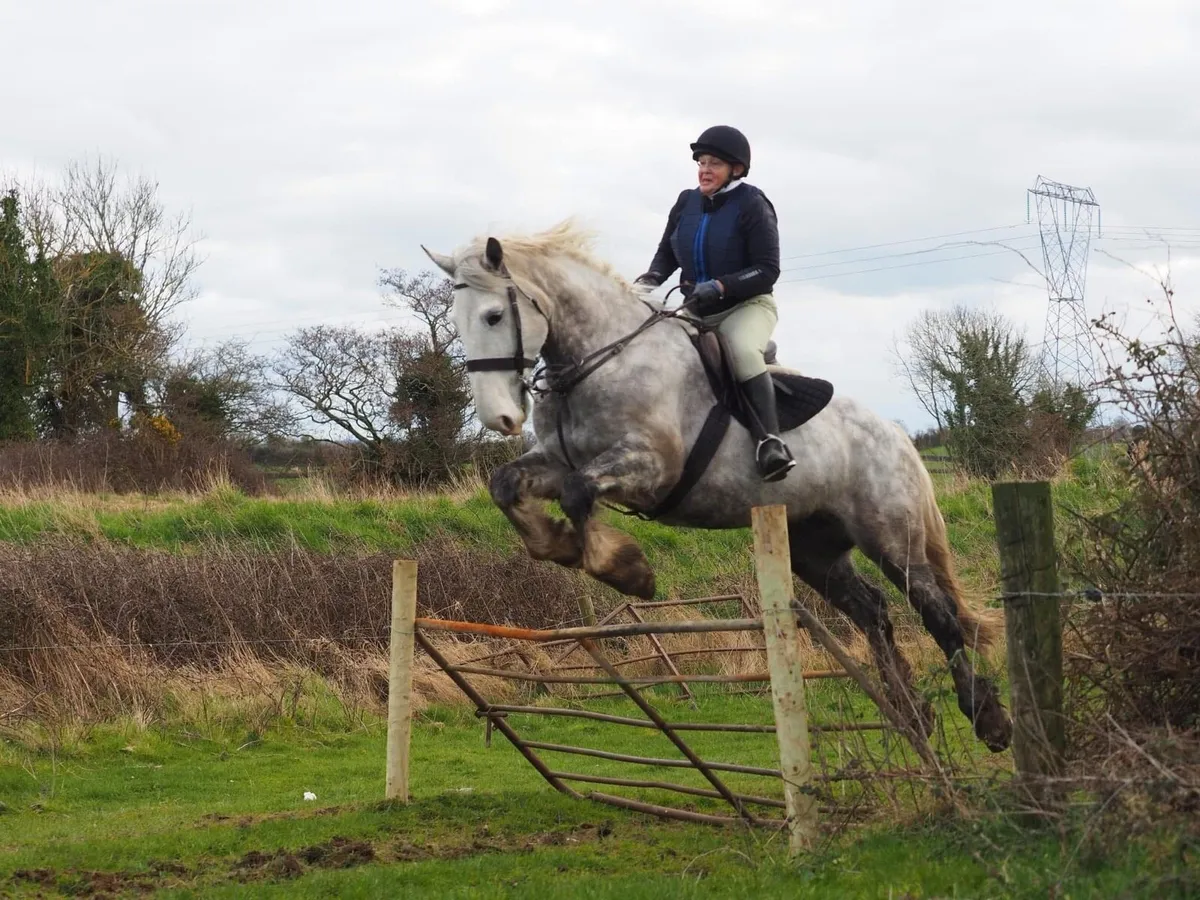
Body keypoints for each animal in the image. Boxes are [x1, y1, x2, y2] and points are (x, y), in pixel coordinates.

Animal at [422, 220, 1012, 753]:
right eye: (459, 322)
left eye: (495, 315)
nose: (499, 418)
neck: (598, 360)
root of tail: (897, 436)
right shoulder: (556, 462)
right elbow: (507, 486)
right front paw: (560, 546)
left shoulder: (649, 468)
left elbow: (579, 494)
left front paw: (625, 570)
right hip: (814, 550)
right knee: (873, 612)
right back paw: (912, 714)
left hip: (891, 538)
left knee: (939, 617)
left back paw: (987, 721)